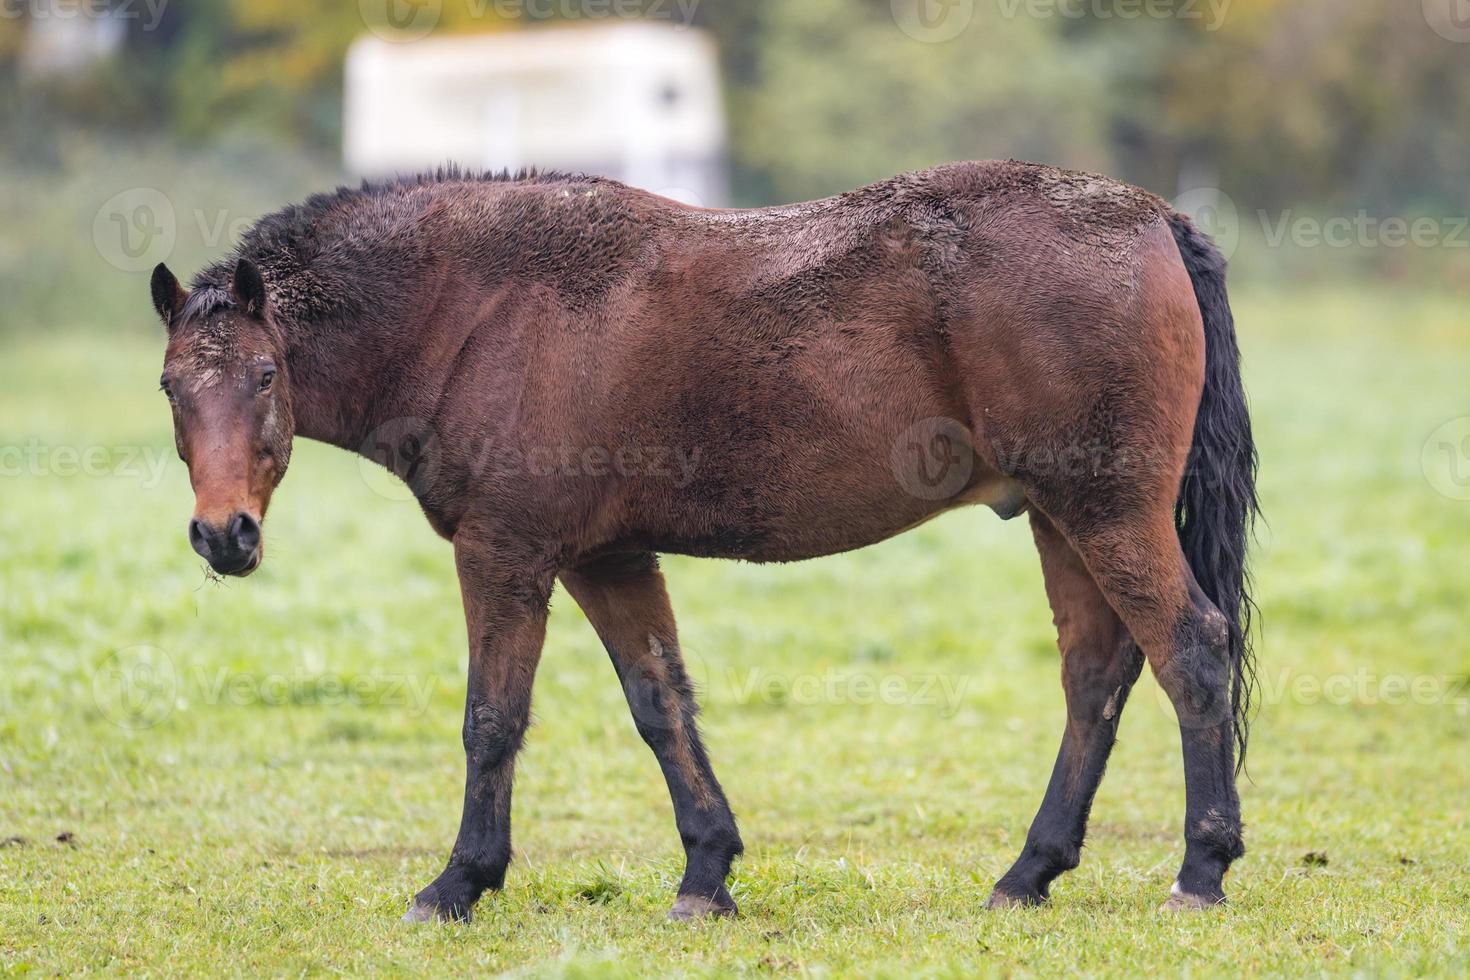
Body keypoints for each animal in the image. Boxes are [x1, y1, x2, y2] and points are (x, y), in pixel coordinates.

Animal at [149, 159, 1258, 922]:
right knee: (1097, 674)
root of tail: (1154, 217)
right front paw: (706, 871)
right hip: (1063, 519)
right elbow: (662, 704)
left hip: (1107, 512)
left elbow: (492, 720)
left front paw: (458, 881)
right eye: (169, 387)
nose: (223, 535)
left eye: (263, 376)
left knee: (1190, 652)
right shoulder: (604, 559)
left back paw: (1199, 870)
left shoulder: (506, 555)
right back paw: (1029, 872)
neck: (479, 307)